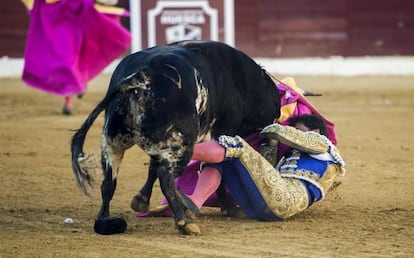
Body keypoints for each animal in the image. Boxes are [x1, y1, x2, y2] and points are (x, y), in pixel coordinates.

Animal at [70, 40, 282, 236]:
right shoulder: (220, 133)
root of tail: (142, 75)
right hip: (182, 145)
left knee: (109, 183)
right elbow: (216, 168)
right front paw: (229, 208)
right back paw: (184, 221)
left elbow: (152, 169)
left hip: (112, 143)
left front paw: (141, 200)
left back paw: (104, 220)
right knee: (166, 176)